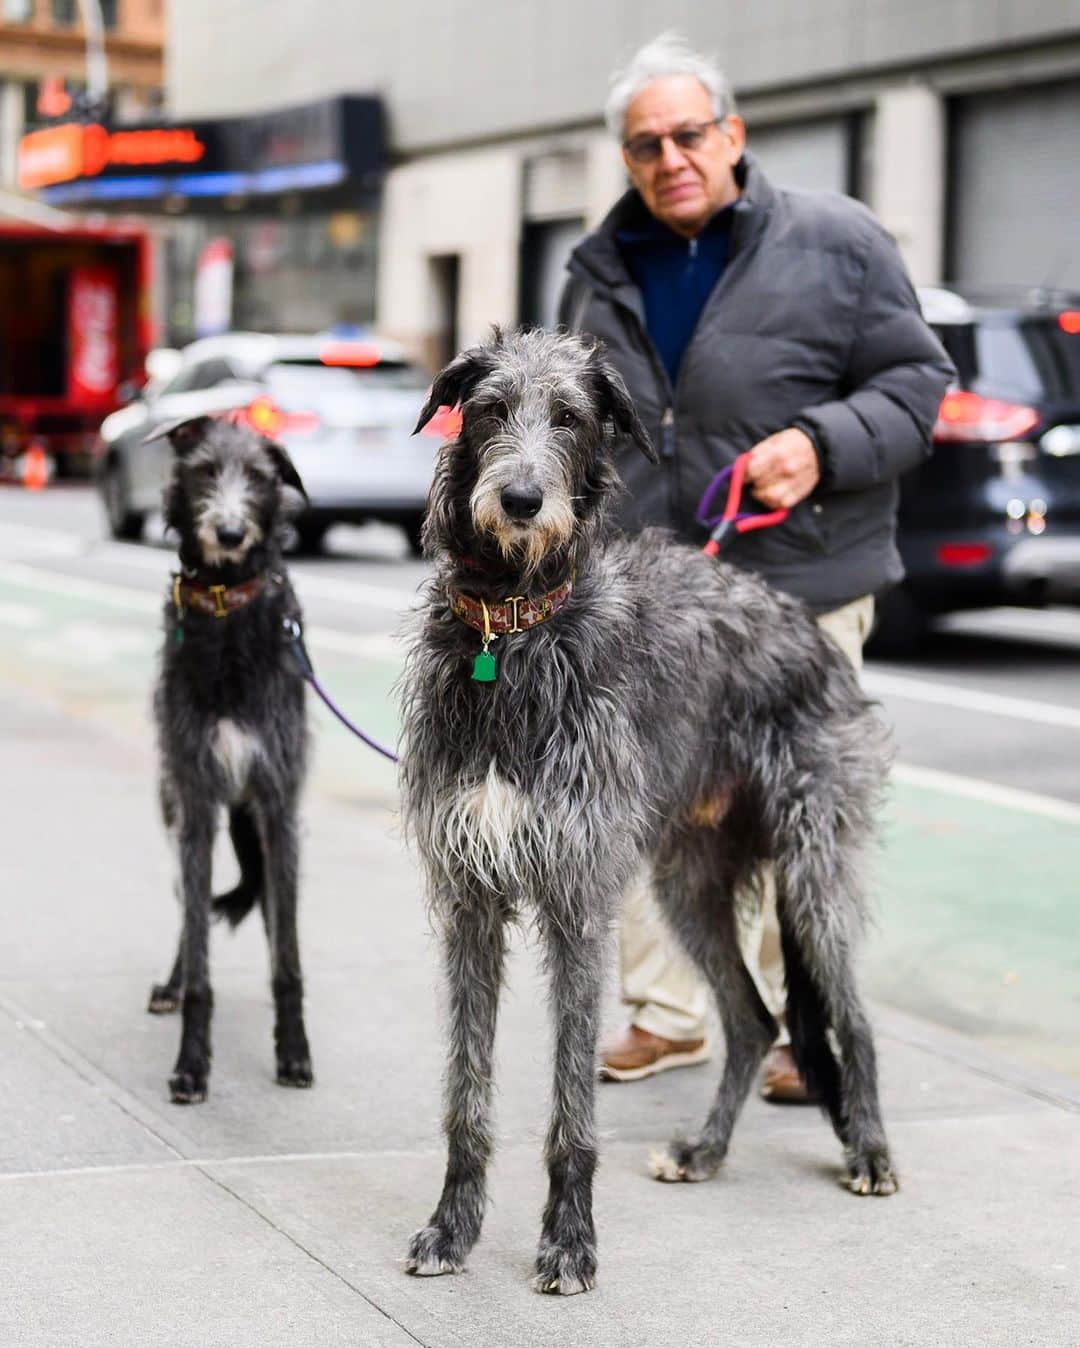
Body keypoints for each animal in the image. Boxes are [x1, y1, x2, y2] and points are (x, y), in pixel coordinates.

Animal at [399, 323, 895, 1294]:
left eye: (569, 416)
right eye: (489, 409)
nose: (520, 500)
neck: (514, 629)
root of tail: (807, 628)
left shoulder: (577, 901)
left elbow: (571, 1106)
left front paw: (569, 1242)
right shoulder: (470, 897)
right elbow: (464, 1092)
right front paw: (452, 1228)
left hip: (812, 864)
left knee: (848, 1013)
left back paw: (870, 1154)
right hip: (687, 880)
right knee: (752, 1018)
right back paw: (704, 1151)